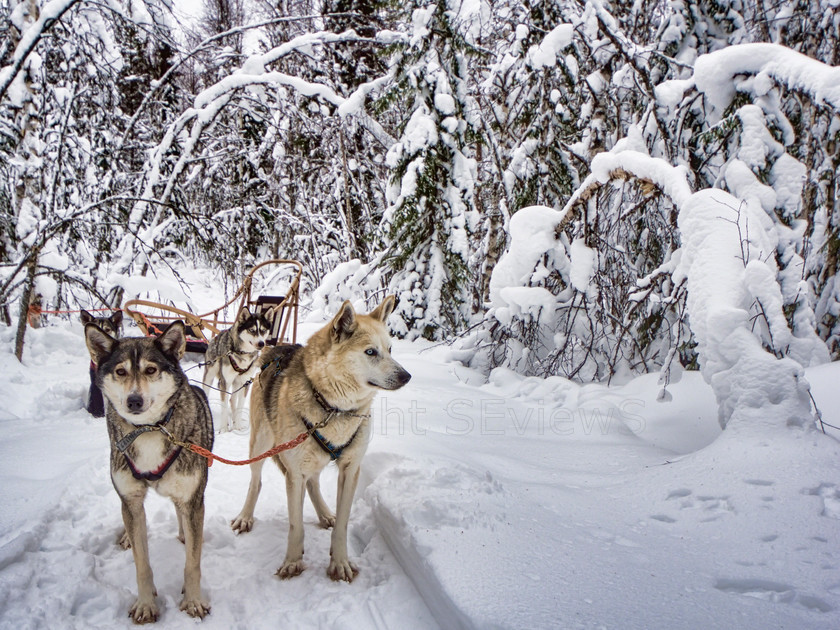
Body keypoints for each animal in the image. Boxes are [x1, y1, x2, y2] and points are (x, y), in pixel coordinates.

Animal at [85, 324, 213, 624]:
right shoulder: (131, 500)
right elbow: (141, 564)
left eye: (151, 370)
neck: (150, 429)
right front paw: (145, 604)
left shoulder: (192, 497)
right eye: (120, 371)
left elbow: (193, 562)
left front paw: (193, 601)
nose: (134, 400)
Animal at [201, 306, 272, 434]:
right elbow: (224, 407)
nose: (261, 343)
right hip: (209, 376)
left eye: (263, 330)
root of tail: (216, 337)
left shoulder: (245, 383)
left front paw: (237, 426)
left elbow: (239, 405)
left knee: (233, 400)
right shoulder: (225, 382)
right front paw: (223, 429)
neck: (242, 354)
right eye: (252, 330)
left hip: (236, 383)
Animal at [233, 296, 410, 584]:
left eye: (390, 349)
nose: (406, 376)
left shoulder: (351, 469)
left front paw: (339, 562)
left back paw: (325, 513)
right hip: (261, 444)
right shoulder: (294, 472)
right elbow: (295, 525)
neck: (333, 408)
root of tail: (273, 348)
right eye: (371, 352)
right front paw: (293, 562)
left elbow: (343, 524)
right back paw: (245, 517)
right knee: (256, 481)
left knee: (313, 482)